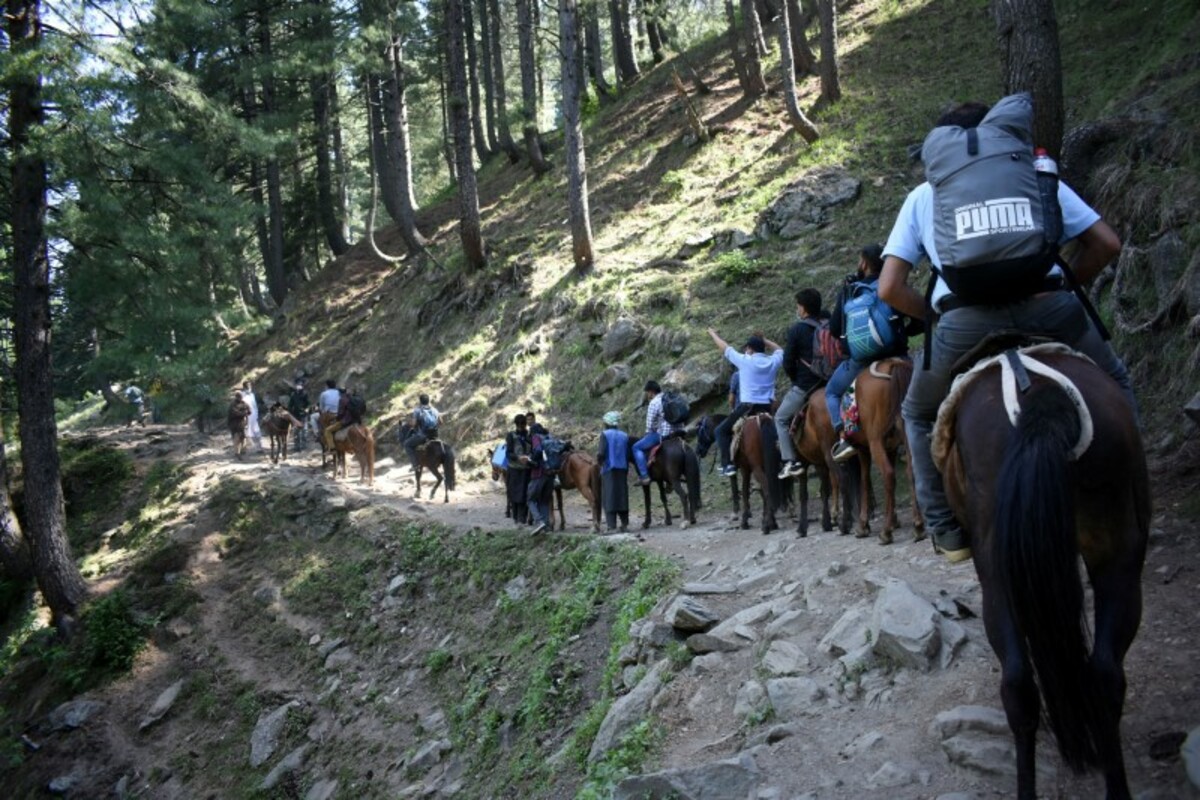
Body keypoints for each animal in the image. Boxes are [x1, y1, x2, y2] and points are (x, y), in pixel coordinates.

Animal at [837, 358, 925, 544]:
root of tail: (893, 364)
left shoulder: (863, 449)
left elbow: (864, 481)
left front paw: (863, 525)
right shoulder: (891, 448)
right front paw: (894, 520)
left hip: (875, 441)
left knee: (888, 474)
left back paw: (886, 532)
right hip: (907, 433)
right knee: (911, 471)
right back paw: (918, 526)